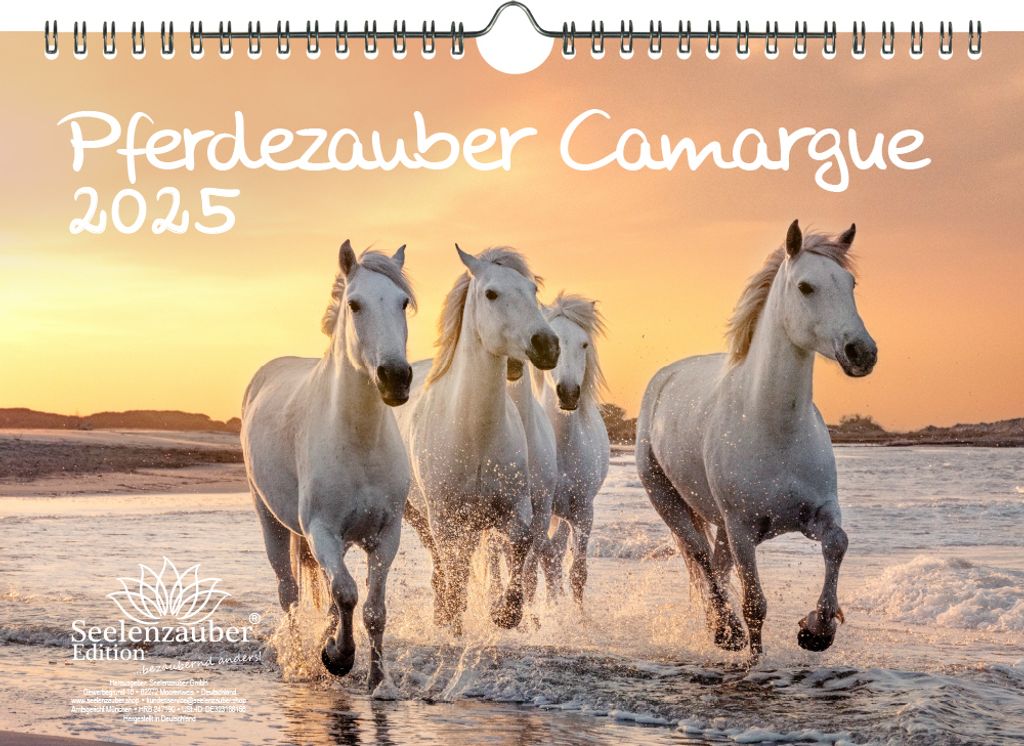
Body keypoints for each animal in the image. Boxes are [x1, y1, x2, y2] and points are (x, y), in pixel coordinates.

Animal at [241, 241, 415, 691]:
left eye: (403, 303)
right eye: (355, 304)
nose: (395, 377)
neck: (358, 440)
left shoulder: (385, 535)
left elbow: (372, 609)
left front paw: (377, 681)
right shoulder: (321, 530)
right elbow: (348, 594)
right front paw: (338, 657)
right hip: (271, 520)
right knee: (289, 592)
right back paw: (300, 657)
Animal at [397, 246, 560, 633]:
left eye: (533, 290)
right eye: (491, 294)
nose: (547, 345)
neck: (475, 434)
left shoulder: (516, 509)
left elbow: (520, 547)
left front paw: (505, 613)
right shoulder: (444, 519)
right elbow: (454, 573)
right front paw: (453, 621)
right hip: (420, 516)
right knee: (443, 566)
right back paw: (443, 615)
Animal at [636, 220, 877, 659]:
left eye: (850, 283)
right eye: (805, 287)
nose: (861, 352)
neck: (774, 428)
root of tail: (664, 378)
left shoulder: (817, 513)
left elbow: (838, 543)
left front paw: (817, 630)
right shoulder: (743, 529)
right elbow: (755, 605)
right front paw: (756, 657)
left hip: (720, 525)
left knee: (716, 564)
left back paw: (719, 628)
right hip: (669, 501)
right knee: (701, 557)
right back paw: (725, 630)